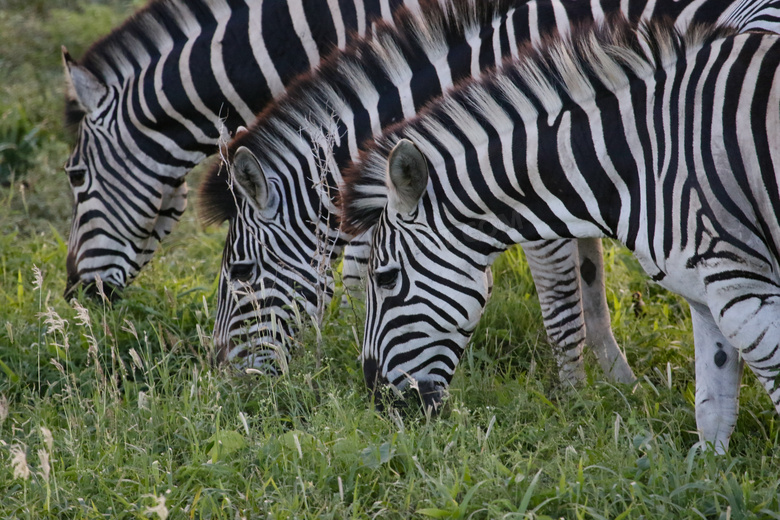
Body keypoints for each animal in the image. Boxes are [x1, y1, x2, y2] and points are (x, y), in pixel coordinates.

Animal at [198, 0, 780, 382]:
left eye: (241, 273)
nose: (226, 379)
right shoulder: (579, 188)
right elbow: (591, 287)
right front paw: (619, 383)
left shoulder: (542, 196)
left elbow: (562, 305)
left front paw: (576, 402)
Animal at [340, 15, 780, 450]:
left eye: (386, 278)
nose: (381, 405)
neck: (637, 159)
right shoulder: (703, 296)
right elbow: (713, 410)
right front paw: (707, 468)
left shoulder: (741, 290)